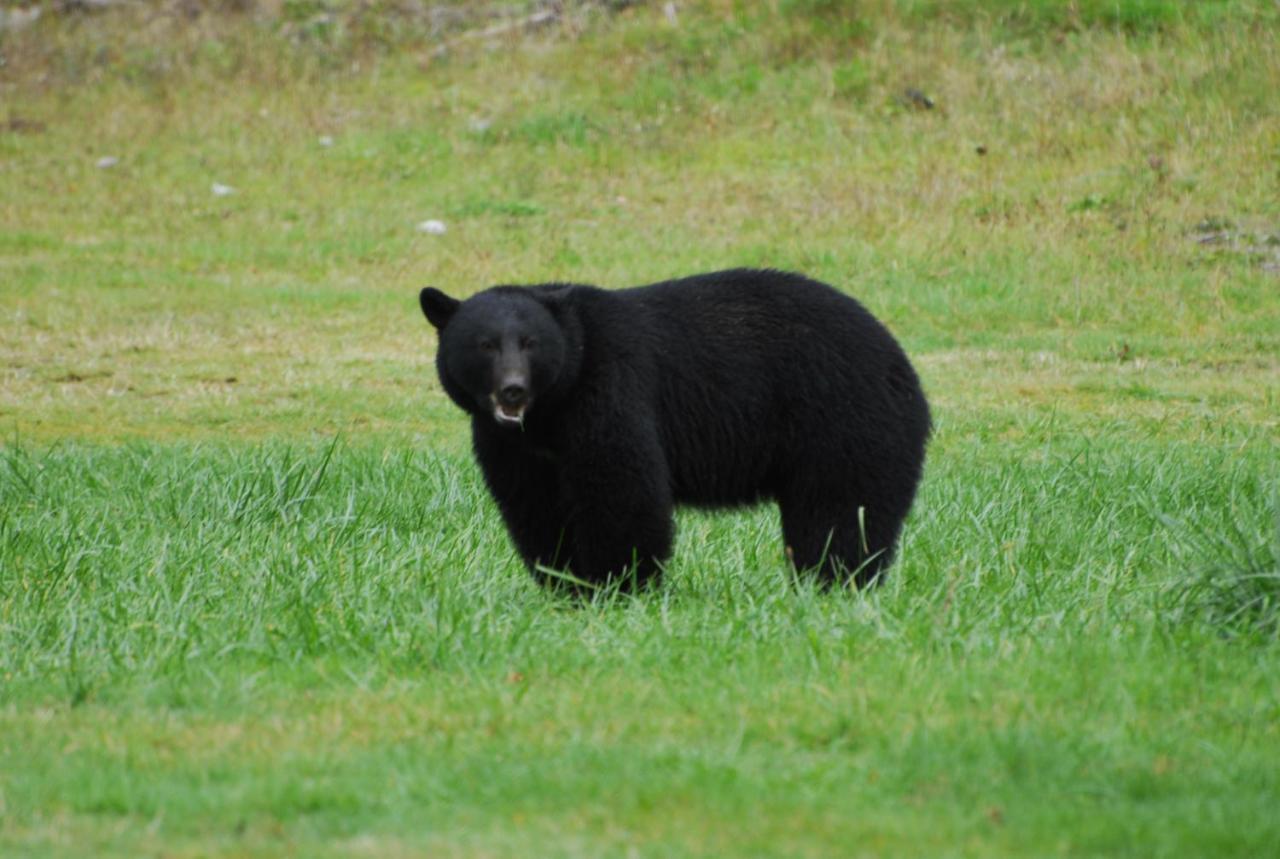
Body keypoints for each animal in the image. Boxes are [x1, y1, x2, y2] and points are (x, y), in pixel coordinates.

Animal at [419, 268, 931, 591]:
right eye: (484, 344)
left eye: (530, 343)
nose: (513, 390)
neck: (549, 414)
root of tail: (902, 364)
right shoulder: (512, 447)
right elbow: (536, 506)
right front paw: (568, 585)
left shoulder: (611, 389)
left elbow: (623, 489)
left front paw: (619, 585)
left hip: (844, 421)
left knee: (841, 512)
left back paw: (834, 582)